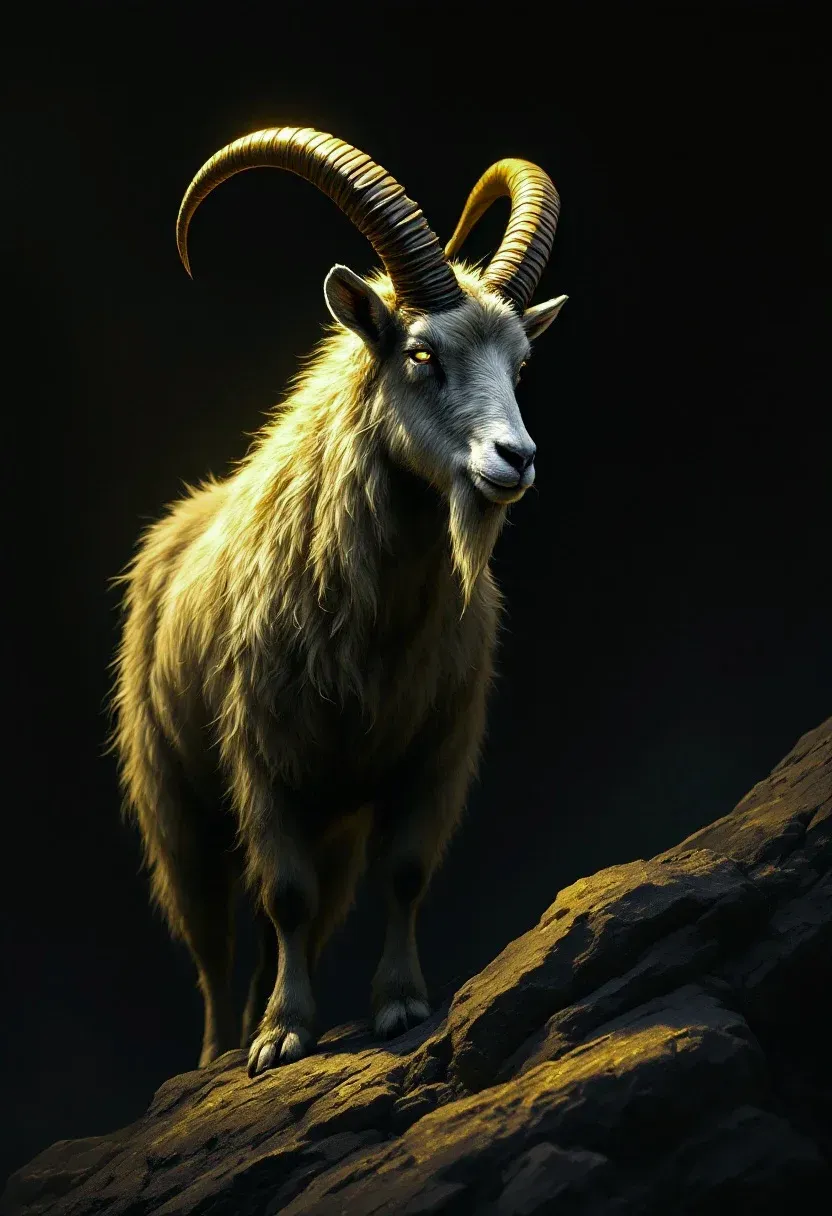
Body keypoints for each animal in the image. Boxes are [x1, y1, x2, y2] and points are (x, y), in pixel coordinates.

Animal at [110, 127, 567, 1075]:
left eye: (520, 363)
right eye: (421, 353)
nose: (514, 460)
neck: (375, 619)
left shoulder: (431, 753)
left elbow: (405, 875)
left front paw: (397, 1003)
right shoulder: (264, 759)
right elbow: (281, 894)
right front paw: (282, 1036)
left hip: (336, 820)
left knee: (303, 921)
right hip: (176, 800)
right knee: (212, 934)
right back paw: (219, 1050)